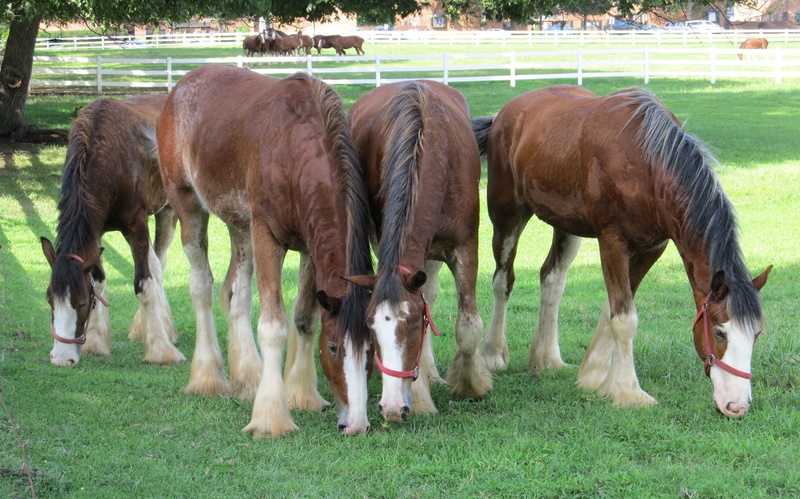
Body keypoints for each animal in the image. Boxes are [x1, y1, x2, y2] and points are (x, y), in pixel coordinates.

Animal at [41, 94, 184, 367]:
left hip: (169, 210)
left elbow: (144, 285)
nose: (61, 358)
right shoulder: (94, 233)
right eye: (49, 299)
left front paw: (161, 350)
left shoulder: (137, 227)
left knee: (159, 264)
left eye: (81, 303)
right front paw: (96, 342)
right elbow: (98, 281)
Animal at [157, 65, 373, 437]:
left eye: (374, 348)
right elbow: (274, 326)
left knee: (235, 294)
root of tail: (180, 87)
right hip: (189, 208)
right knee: (202, 287)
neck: (295, 150)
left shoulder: (309, 250)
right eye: (333, 348)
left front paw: (302, 395)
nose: (357, 424)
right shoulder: (267, 237)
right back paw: (208, 377)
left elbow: (304, 319)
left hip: (240, 227)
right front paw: (272, 417)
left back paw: (249, 379)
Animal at [347, 80, 492, 422]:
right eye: (370, 328)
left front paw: (470, 385)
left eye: (413, 327)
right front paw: (422, 397)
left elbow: (468, 326)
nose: (390, 407)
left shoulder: (466, 248)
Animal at [471, 85, 771, 418]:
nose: (737, 405)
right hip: (507, 215)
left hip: (566, 226)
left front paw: (595, 375)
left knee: (552, 280)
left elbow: (613, 309)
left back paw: (547, 358)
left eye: (756, 334)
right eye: (720, 332)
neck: (648, 165)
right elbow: (624, 319)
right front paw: (629, 392)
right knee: (503, 281)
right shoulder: (612, 242)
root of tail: (504, 114)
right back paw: (493, 354)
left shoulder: (652, 248)